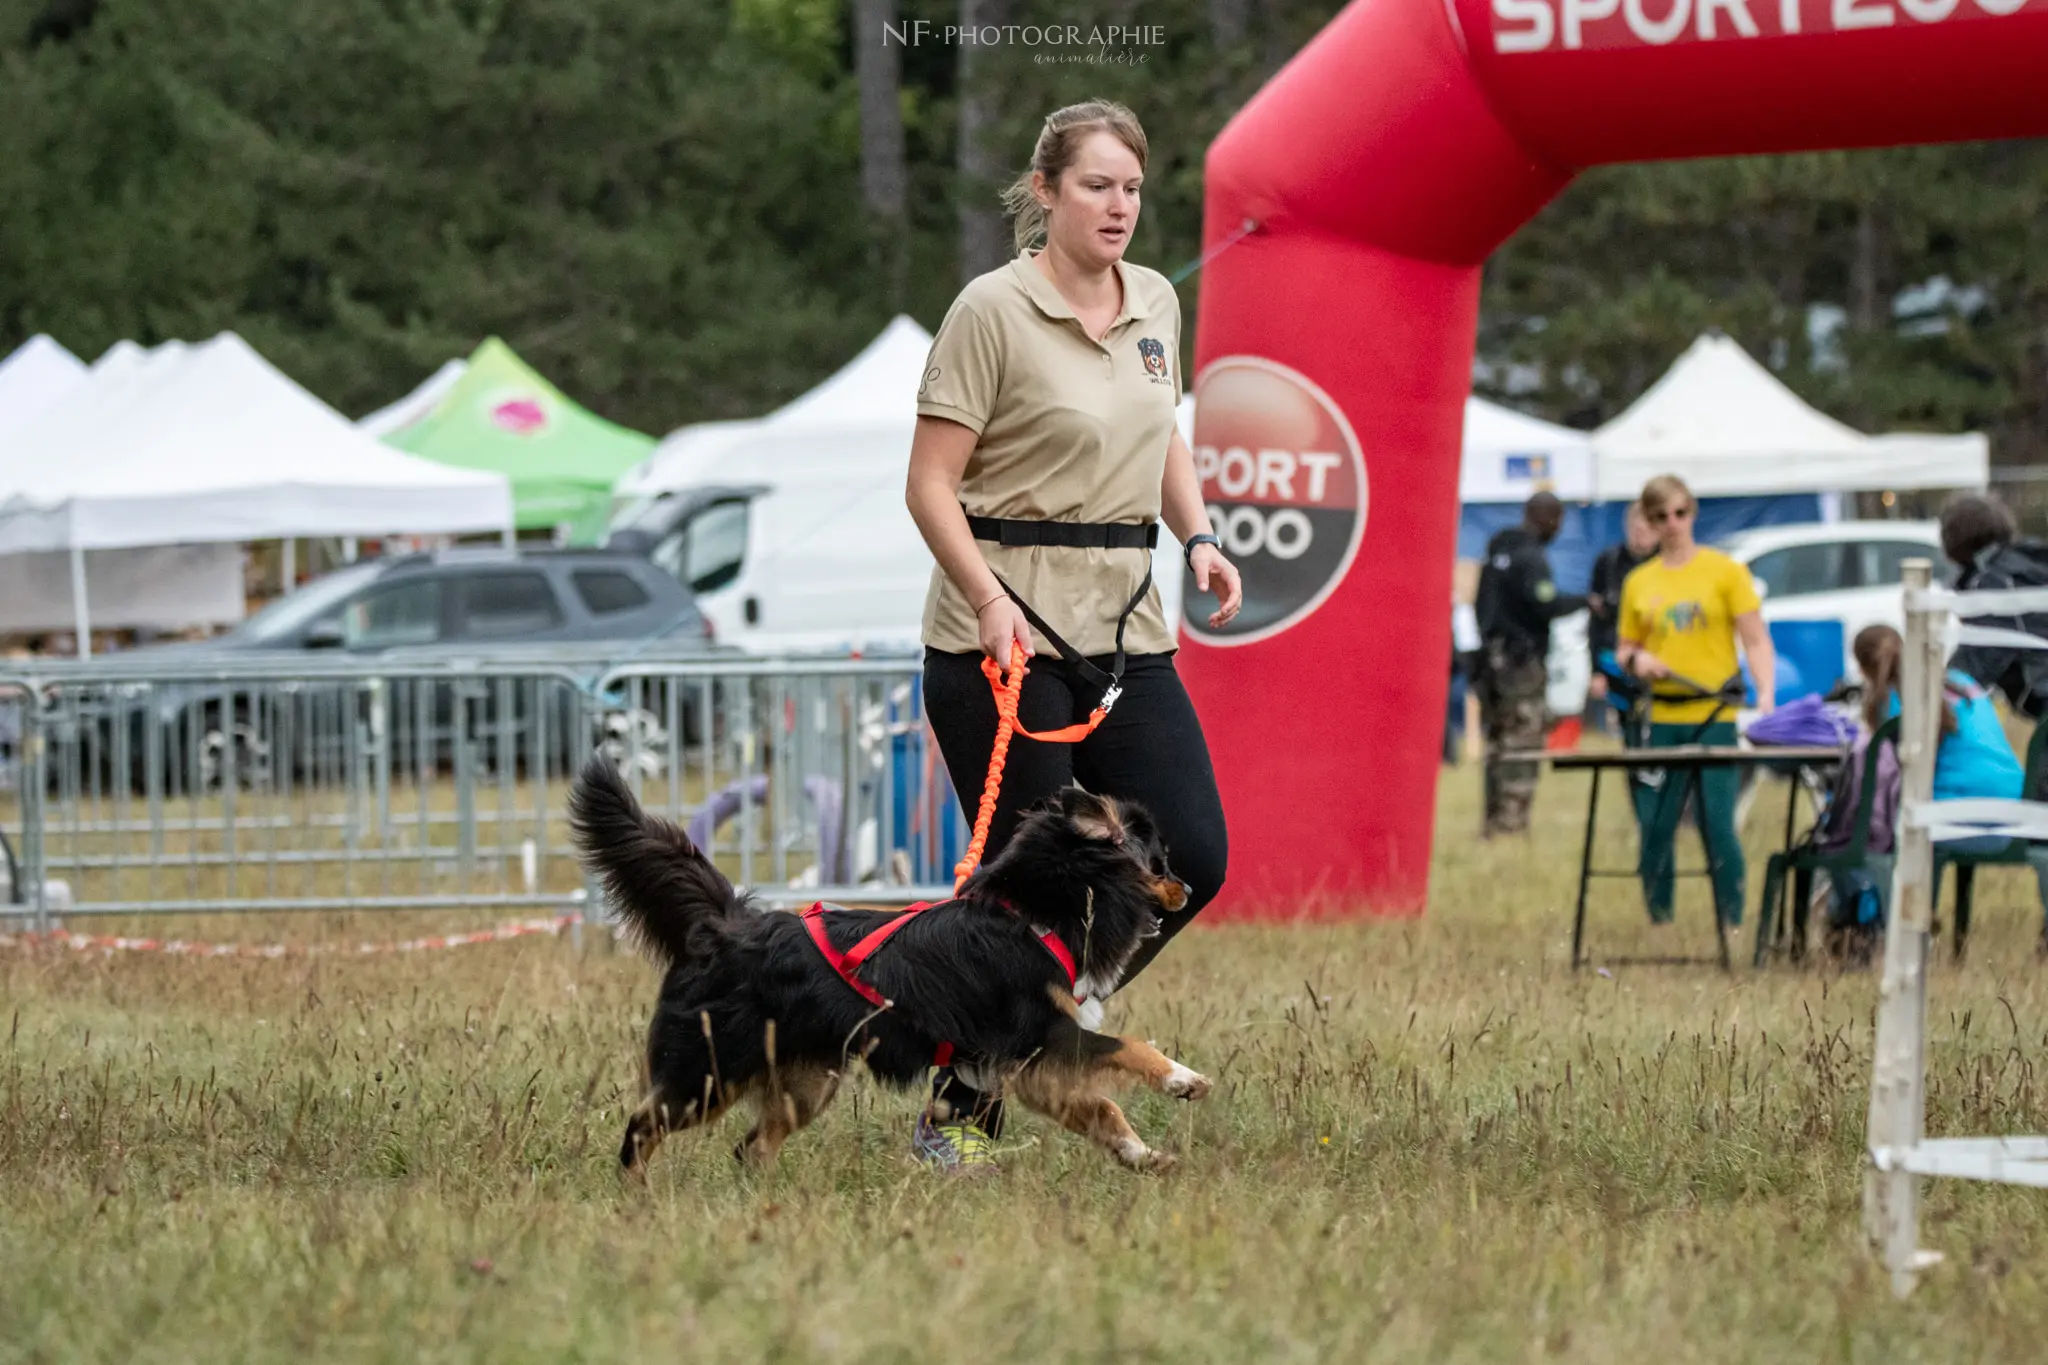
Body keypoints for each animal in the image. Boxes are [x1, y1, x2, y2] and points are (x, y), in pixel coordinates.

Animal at [569, 757, 1204, 1178]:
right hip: (709, 1071)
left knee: (750, 1148)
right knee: (642, 1127)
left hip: (807, 1082)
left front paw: (1142, 1155)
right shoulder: (1042, 1036)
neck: (1034, 912)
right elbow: (1129, 1049)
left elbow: (1101, 1106)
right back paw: (637, 1196)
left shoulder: (1030, 1064)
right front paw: (1182, 1079)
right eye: (1161, 861)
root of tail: (726, 924)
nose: (1191, 888)